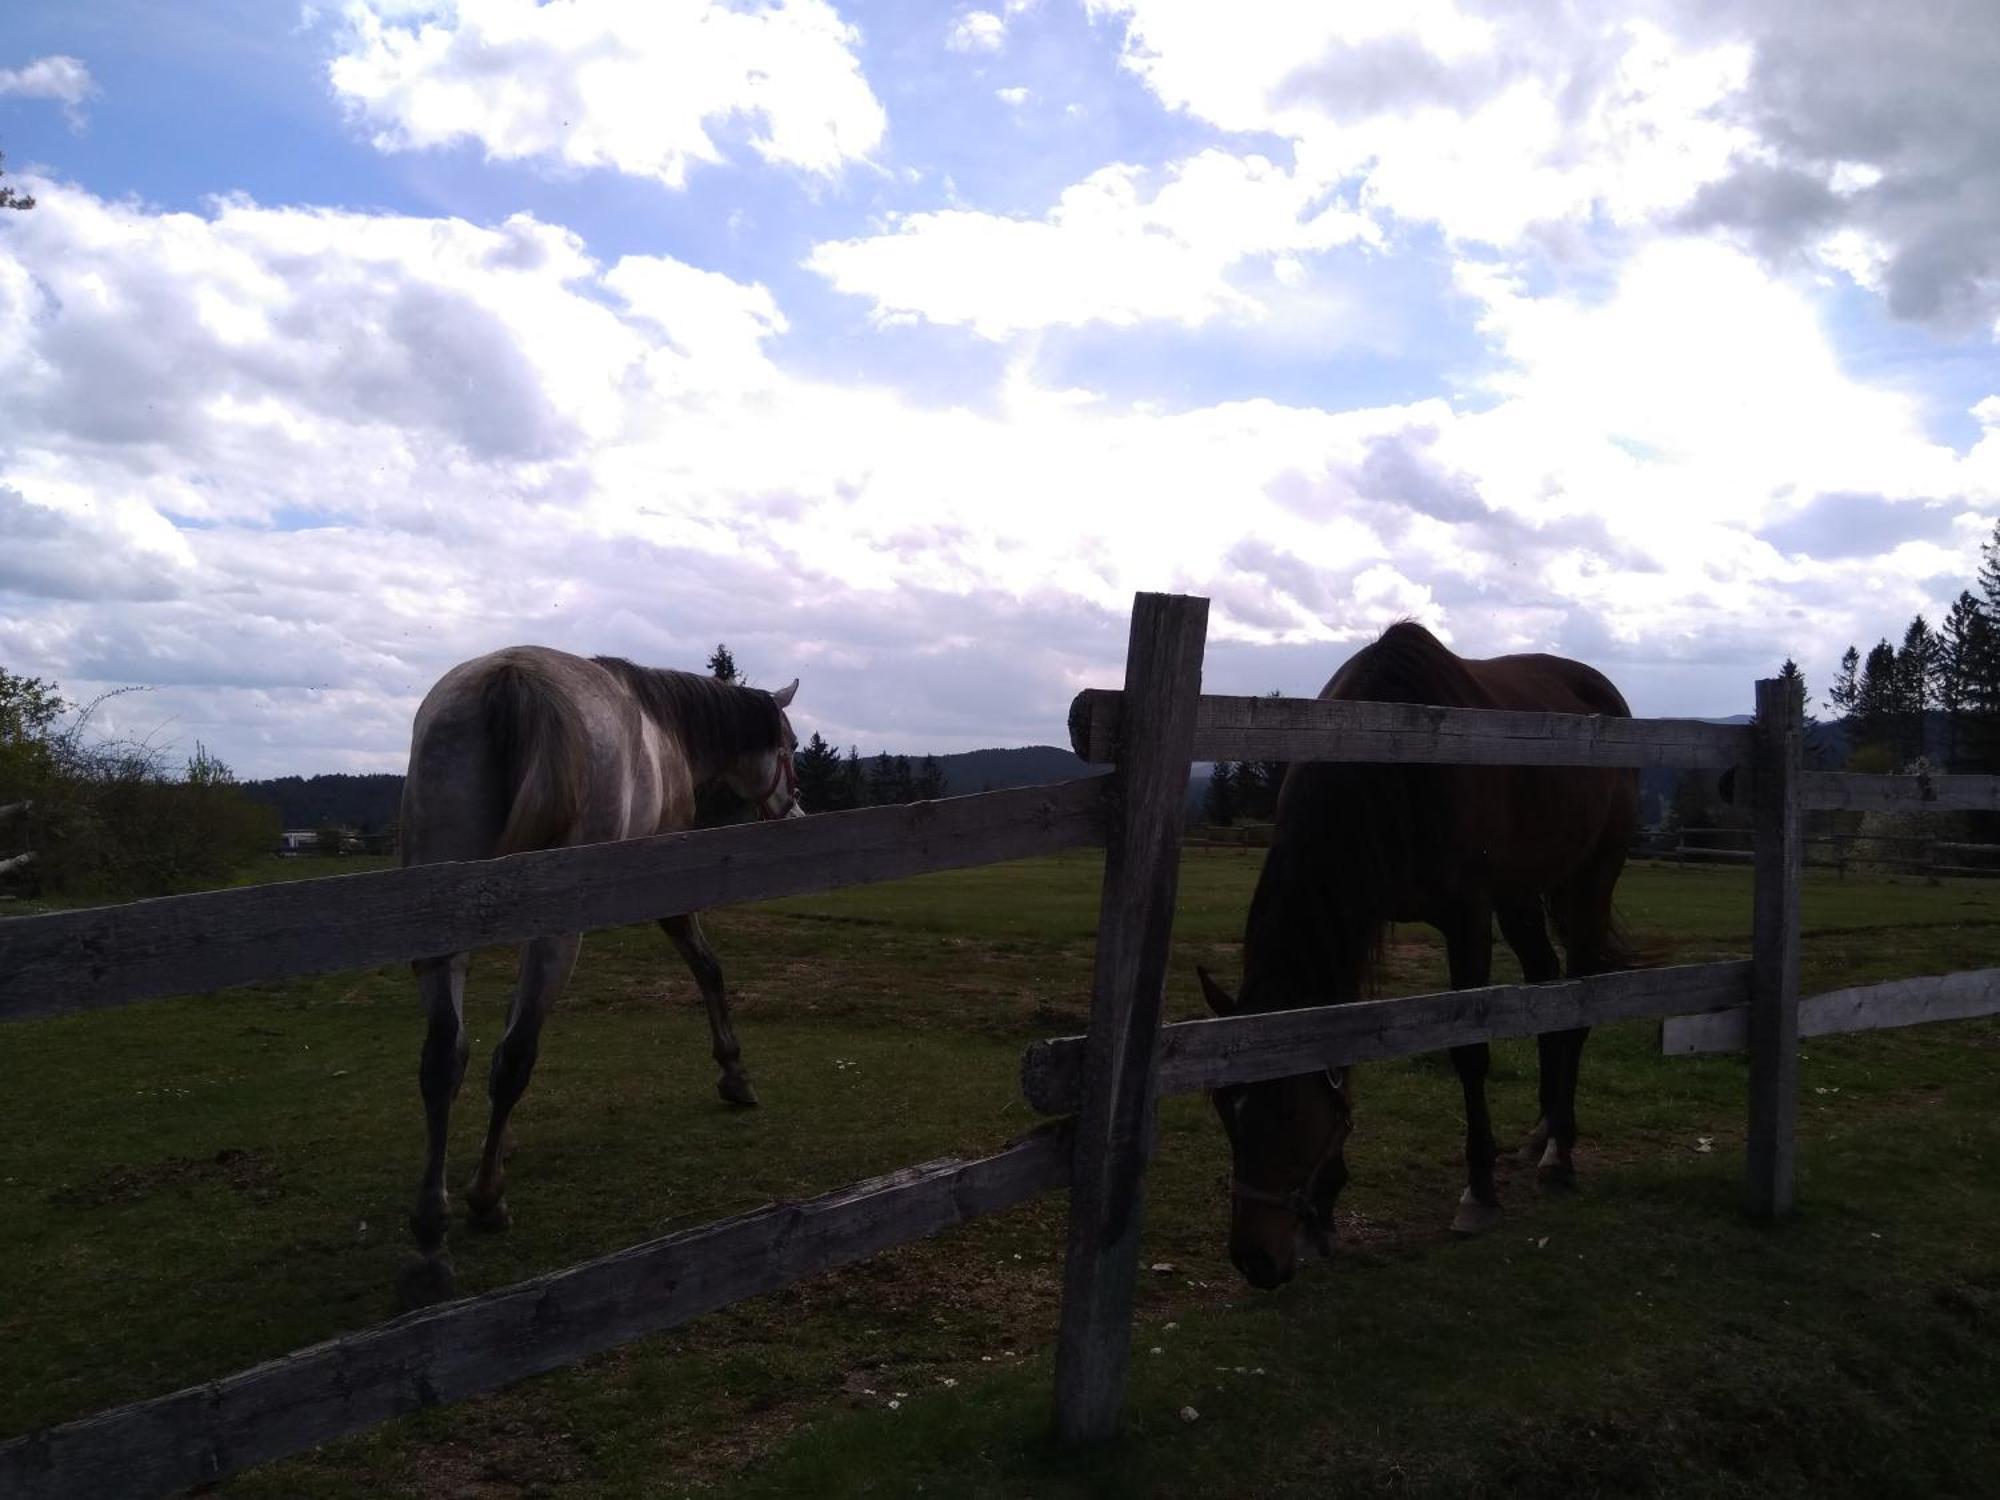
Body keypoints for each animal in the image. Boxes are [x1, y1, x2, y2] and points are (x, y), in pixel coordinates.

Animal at [394, 652, 800, 1312]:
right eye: (788, 747)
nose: (795, 811)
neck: (668, 730)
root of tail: (510, 680)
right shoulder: (667, 891)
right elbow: (709, 969)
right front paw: (734, 1073)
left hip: (442, 925)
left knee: (445, 1060)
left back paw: (432, 1235)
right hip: (557, 932)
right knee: (514, 1057)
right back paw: (485, 1200)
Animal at [1192, 624, 1632, 1296]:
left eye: (1288, 1113)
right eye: (1225, 1109)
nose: (1254, 1261)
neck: (1397, 757)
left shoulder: (1468, 919)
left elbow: (1470, 1054)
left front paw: (1478, 1192)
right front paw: (1324, 1211)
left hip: (1589, 879)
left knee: (1578, 1004)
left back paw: (1560, 1152)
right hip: (1520, 895)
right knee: (1545, 990)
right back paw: (1539, 1134)